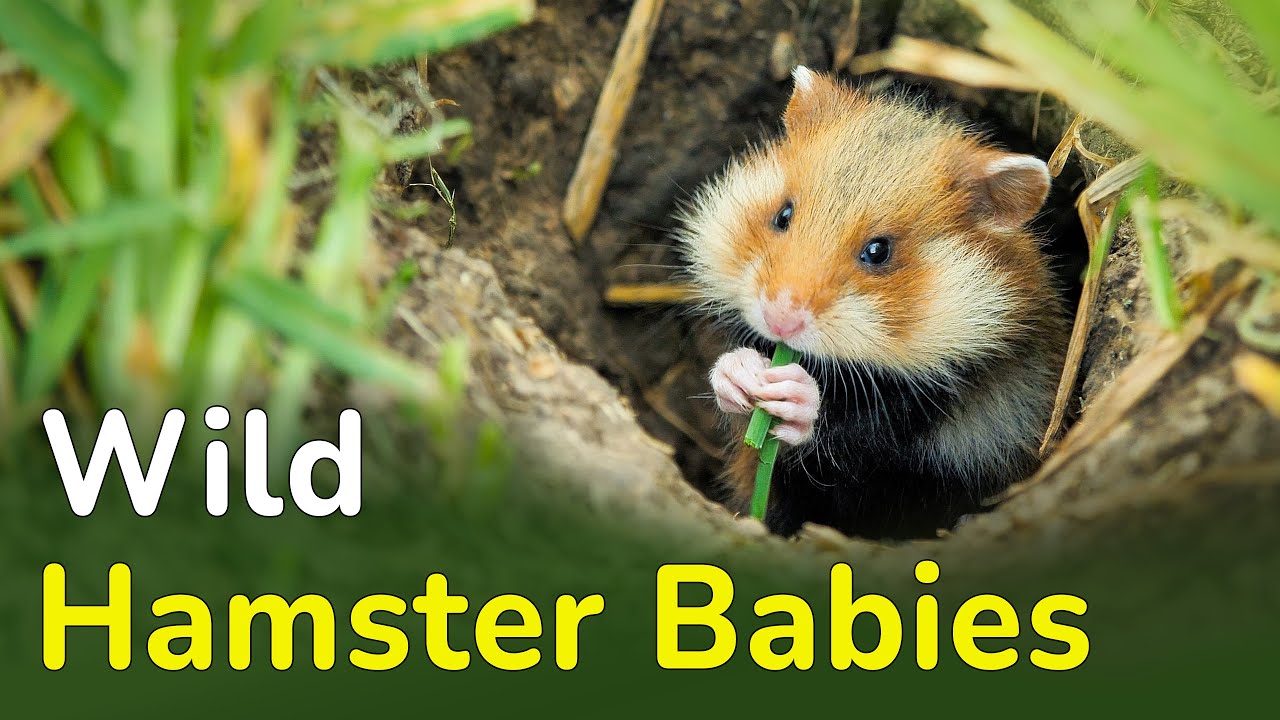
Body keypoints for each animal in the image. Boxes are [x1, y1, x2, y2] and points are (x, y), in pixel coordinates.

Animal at [677, 67, 1069, 540]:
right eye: (783, 215)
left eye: (878, 251)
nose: (779, 319)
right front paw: (742, 372)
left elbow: (860, 434)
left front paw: (791, 391)